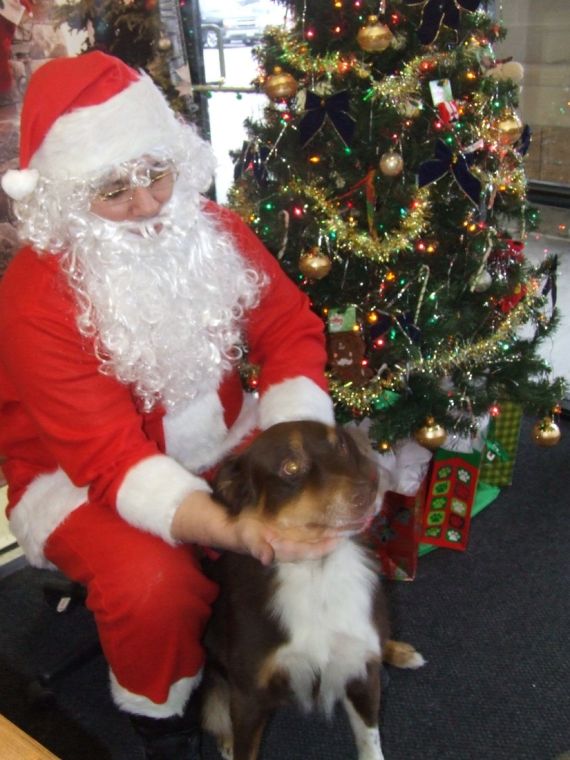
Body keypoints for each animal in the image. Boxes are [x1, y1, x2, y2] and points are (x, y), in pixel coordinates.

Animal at [202, 422, 424, 760]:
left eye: (341, 447)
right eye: (291, 467)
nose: (369, 491)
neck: (317, 572)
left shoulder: (361, 671)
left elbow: (370, 743)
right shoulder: (250, 695)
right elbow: (244, 745)